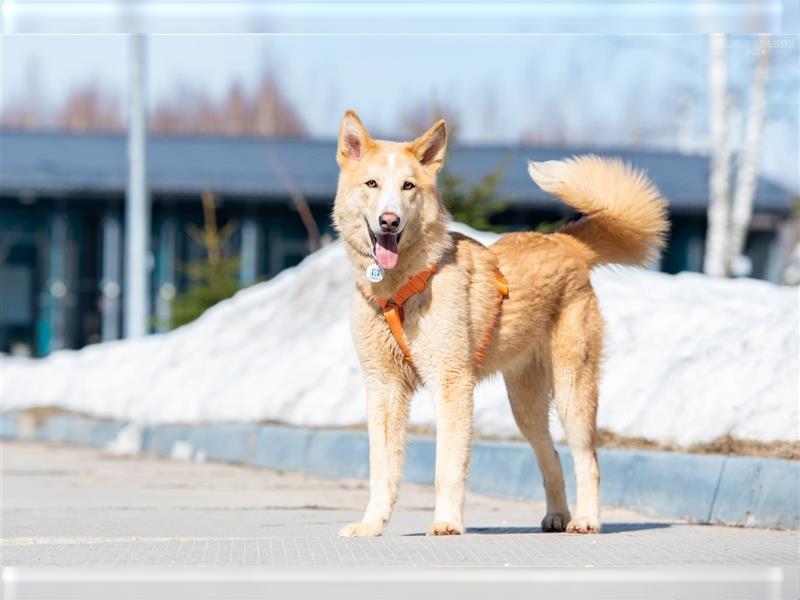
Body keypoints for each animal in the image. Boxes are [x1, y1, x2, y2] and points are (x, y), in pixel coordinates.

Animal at [332, 110, 668, 536]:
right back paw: (558, 516)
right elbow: (382, 469)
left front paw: (446, 523)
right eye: (371, 184)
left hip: (573, 390)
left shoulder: (452, 384)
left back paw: (586, 519)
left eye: (408, 186)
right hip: (525, 404)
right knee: (550, 454)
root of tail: (563, 243)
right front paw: (371, 525)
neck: (400, 288)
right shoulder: (383, 388)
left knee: (587, 458)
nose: (388, 221)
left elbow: (447, 466)